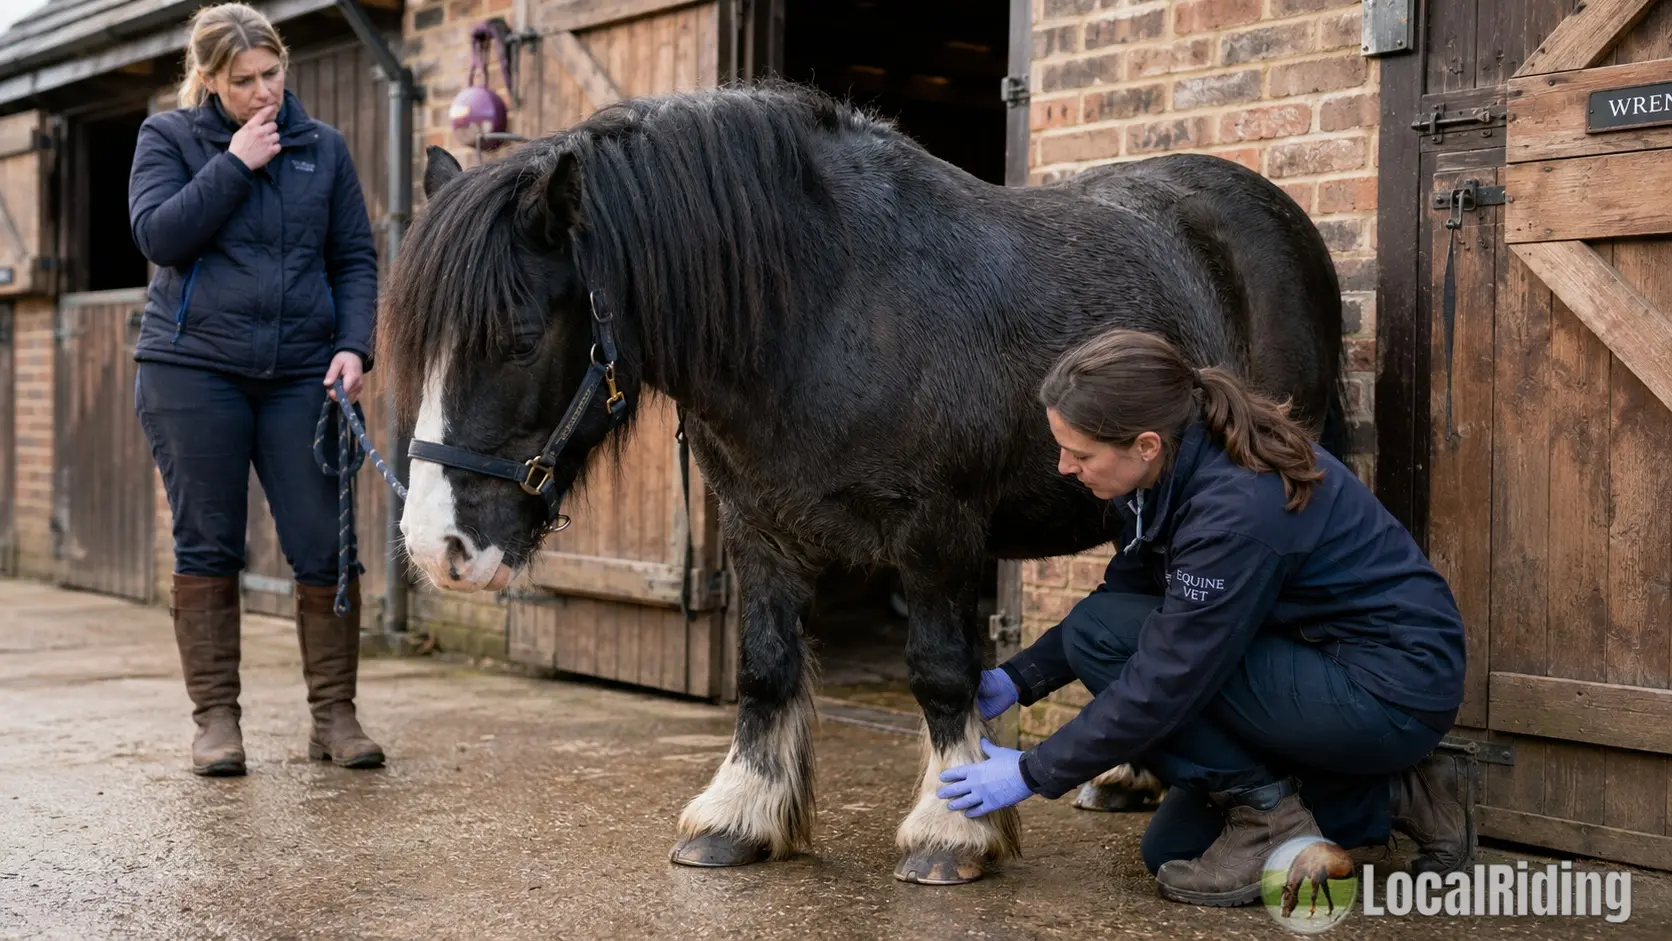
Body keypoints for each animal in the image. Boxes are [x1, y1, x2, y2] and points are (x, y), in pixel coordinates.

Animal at [378, 80, 1348, 885]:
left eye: (516, 336)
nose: (437, 546)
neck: (829, 305)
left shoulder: (937, 534)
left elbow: (943, 673)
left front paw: (953, 828)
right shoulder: (758, 525)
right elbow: (765, 666)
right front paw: (739, 818)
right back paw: (1126, 778)